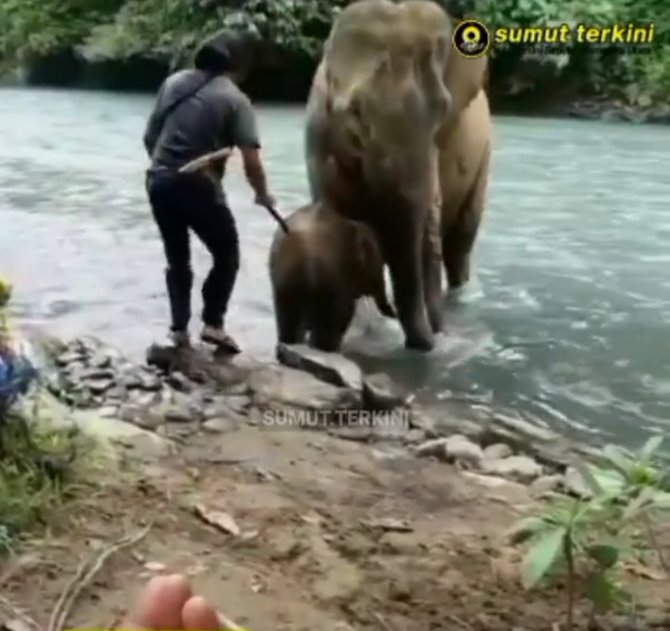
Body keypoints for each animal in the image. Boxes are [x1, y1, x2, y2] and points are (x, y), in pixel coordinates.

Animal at [308, 0, 490, 350]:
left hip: (485, 158)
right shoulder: (317, 137)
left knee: (460, 243)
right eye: (355, 112)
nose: (432, 339)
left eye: (443, 110)